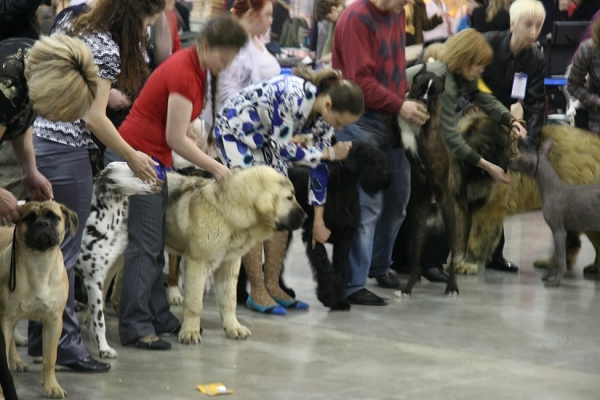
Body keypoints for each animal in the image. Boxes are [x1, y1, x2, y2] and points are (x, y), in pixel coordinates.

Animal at [0, 202, 77, 398]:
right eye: (30, 217)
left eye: (54, 217)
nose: (43, 224)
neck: (39, 263)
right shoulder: (6, 319)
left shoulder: (53, 322)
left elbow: (50, 358)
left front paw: (52, 386)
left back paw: (16, 361)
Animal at [75, 161, 162, 358]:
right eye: (137, 172)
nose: (161, 181)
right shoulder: (93, 281)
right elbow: (99, 320)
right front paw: (104, 349)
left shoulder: (107, 275)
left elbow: (93, 318)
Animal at [288, 142, 392, 310]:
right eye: (368, 157)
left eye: (383, 158)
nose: (386, 174)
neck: (344, 190)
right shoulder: (313, 236)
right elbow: (325, 267)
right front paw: (329, 298)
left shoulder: (344, 239)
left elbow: (341, 270)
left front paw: (339, 300)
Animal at [458, 114, 600, 274]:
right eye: (489, 146)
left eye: (504, 146)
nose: (505, 169)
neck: (475, 172)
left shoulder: (489, 208)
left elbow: (475, 237)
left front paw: (468, 263)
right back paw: (553, 263)